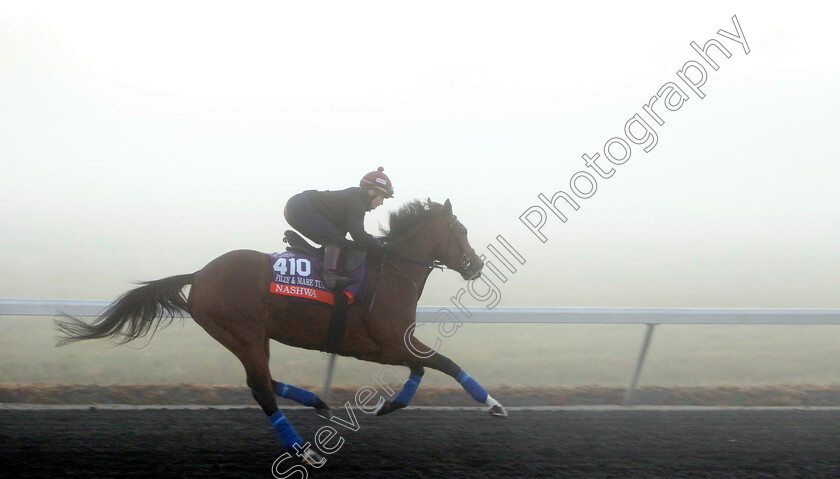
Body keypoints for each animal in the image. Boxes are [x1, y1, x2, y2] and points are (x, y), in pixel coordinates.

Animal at [59, 198, 508, 464]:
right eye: (461, 232)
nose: (476, 266)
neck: (391, 272)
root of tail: (200, 275)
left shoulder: (394, 344)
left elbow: (422, 368)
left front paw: (387, 405)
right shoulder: (382, 344)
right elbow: (444, 363)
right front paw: (493, 405)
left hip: (252, 336)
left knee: (265, 380)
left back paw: (317, 402)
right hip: (242, 332)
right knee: (261, 387)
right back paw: (303, 450)